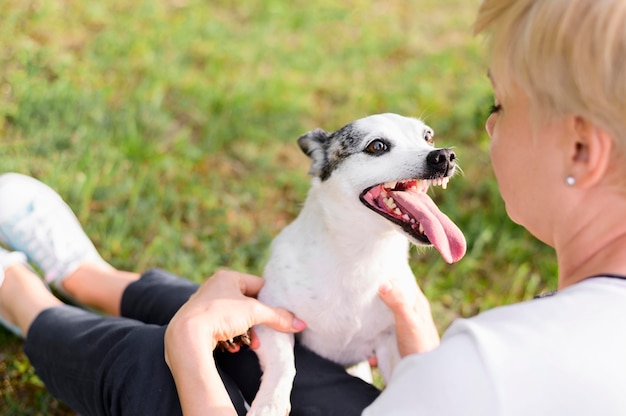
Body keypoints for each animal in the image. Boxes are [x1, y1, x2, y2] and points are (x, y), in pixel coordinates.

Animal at [244, 114, 464, 416]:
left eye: (427, 137)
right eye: (377, 146)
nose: (444, 155)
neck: (362, 254)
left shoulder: (391, 341)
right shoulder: (272, 318)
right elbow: (284, 364)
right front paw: (270, 404)